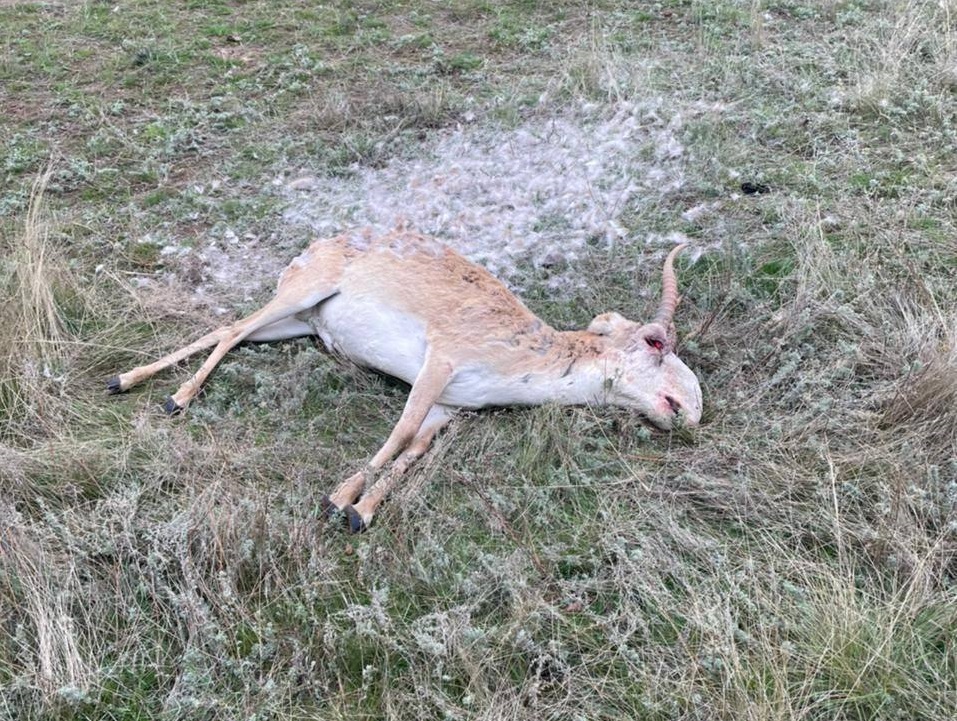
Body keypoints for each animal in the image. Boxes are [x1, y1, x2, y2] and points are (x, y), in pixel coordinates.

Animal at [110, 228, 704, 532]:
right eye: (656, 343)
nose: (692, 409)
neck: (522, 358)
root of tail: (315, 247)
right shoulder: (438, 364)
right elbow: (399, 432)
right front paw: (339, 498)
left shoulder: (451, 408)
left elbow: (415, 448)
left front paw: (363, 511)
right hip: (299, 296)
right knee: (233, 328)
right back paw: (175, 397)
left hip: (297, 323)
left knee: (226, 329)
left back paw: (128, 379)